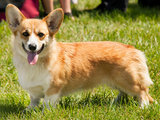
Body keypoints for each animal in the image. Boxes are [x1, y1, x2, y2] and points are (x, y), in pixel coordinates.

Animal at [5, 4, 154, 110]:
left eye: (41, 34)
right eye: (25, 34)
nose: (32, 46)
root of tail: (134, 50)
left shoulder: (53, 89)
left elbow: (47, 104)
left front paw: (44, 113)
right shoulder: (34, 92)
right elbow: (34, 101)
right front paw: (28, 110)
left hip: (128, 81)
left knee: (143, 92)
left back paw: (143, 107)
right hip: (117, 82)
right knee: (125, 93)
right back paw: (115, 102)